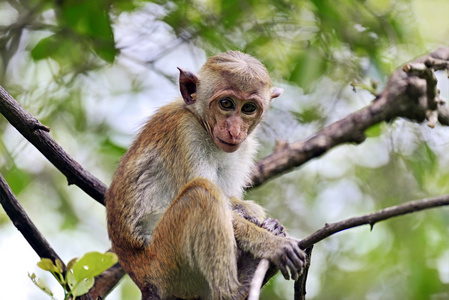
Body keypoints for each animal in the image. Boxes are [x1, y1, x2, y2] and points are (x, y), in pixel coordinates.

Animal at [106, 51, 304, 300]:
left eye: (249, 108)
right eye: (226, 103)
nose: (234, 131)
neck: (201, 122)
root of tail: (142, 279)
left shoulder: (245, 146)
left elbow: (233, 200)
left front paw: (269, 224)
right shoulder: (183, 132)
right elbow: (218, 201)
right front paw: (273, 243)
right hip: (165, 265)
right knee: (201, 193)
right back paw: (233, 291)